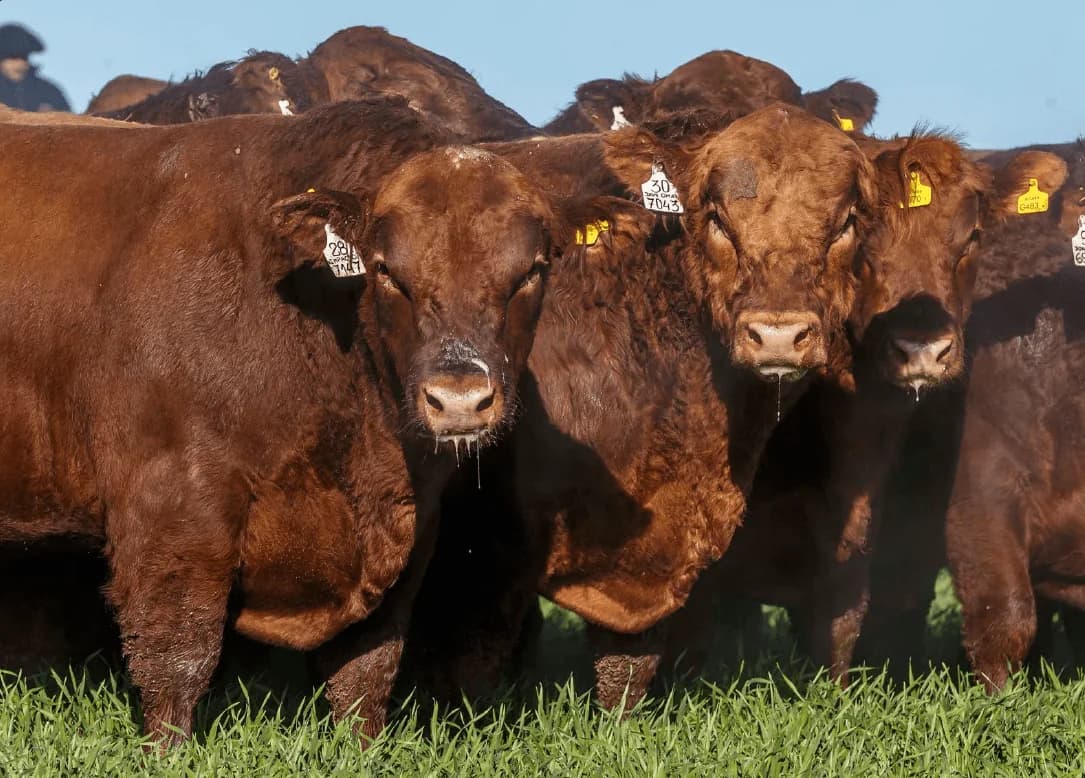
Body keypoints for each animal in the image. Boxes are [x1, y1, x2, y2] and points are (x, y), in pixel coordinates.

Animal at [0, 96, 575, 744]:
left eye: (531, 271)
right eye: (386, 270)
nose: (458, 398)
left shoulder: (412, 521)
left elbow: (369, 664)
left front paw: (361, 749)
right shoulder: (171, 506)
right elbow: (178, 653)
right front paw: (166, 750)